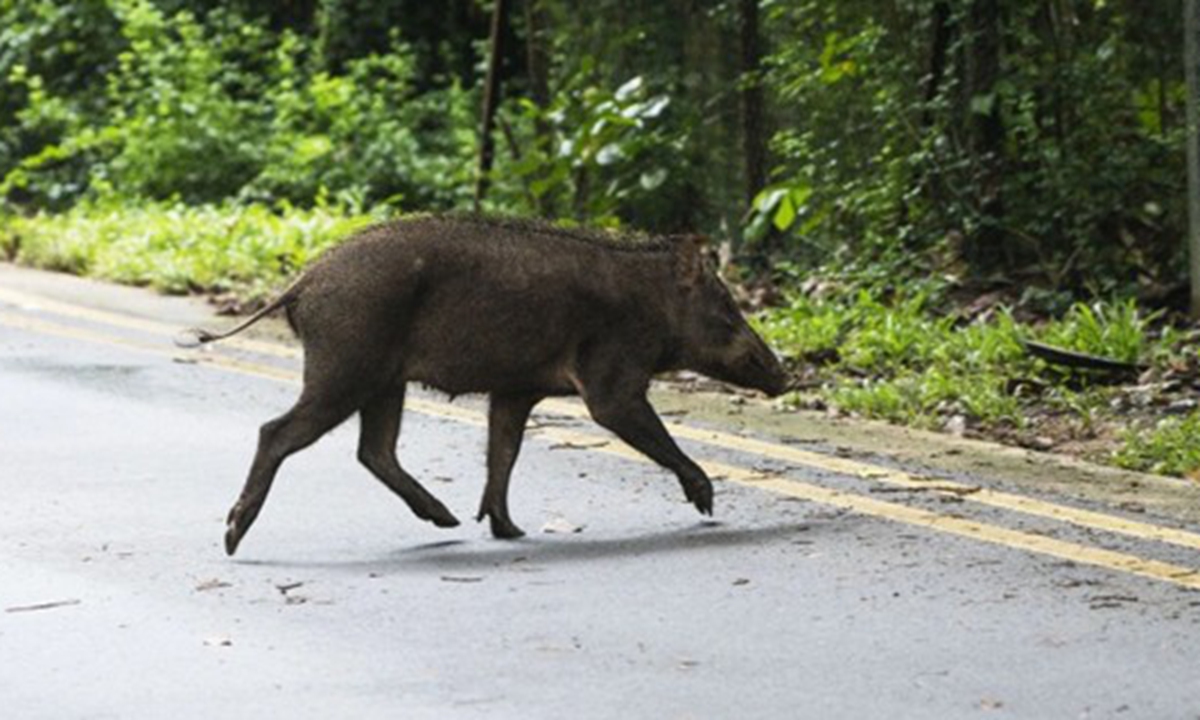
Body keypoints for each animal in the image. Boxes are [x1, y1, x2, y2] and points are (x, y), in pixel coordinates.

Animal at [181, 215, 789, 555]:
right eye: (727, 310)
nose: (784, 374)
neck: (652, 306)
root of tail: (302, 283)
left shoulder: (515, 390)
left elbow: (505, 449)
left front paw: (508, 529)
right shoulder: (610, 382)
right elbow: (637, 426)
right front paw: (707, 502)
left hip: (384, 381)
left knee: (374, 450)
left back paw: (447, 519)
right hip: (344, 369)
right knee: (277, 432)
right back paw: (232, 538)